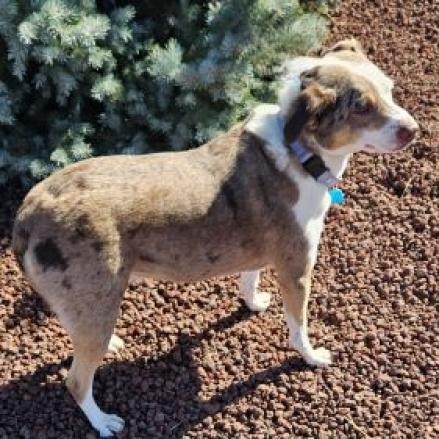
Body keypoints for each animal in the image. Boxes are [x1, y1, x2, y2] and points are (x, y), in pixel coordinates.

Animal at [12, 39, 420, 438]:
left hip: (91, 301)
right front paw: (312, 356)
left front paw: (253, 303)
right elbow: (298, 326)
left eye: (389, 87)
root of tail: (27, 214)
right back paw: (103, 422)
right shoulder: (297, 268)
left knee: (80, 332)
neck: (300, 151)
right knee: (76, 381)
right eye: (362, 107)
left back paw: (109, 344)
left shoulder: (262, 251)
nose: (413, 130)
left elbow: (249, 280)